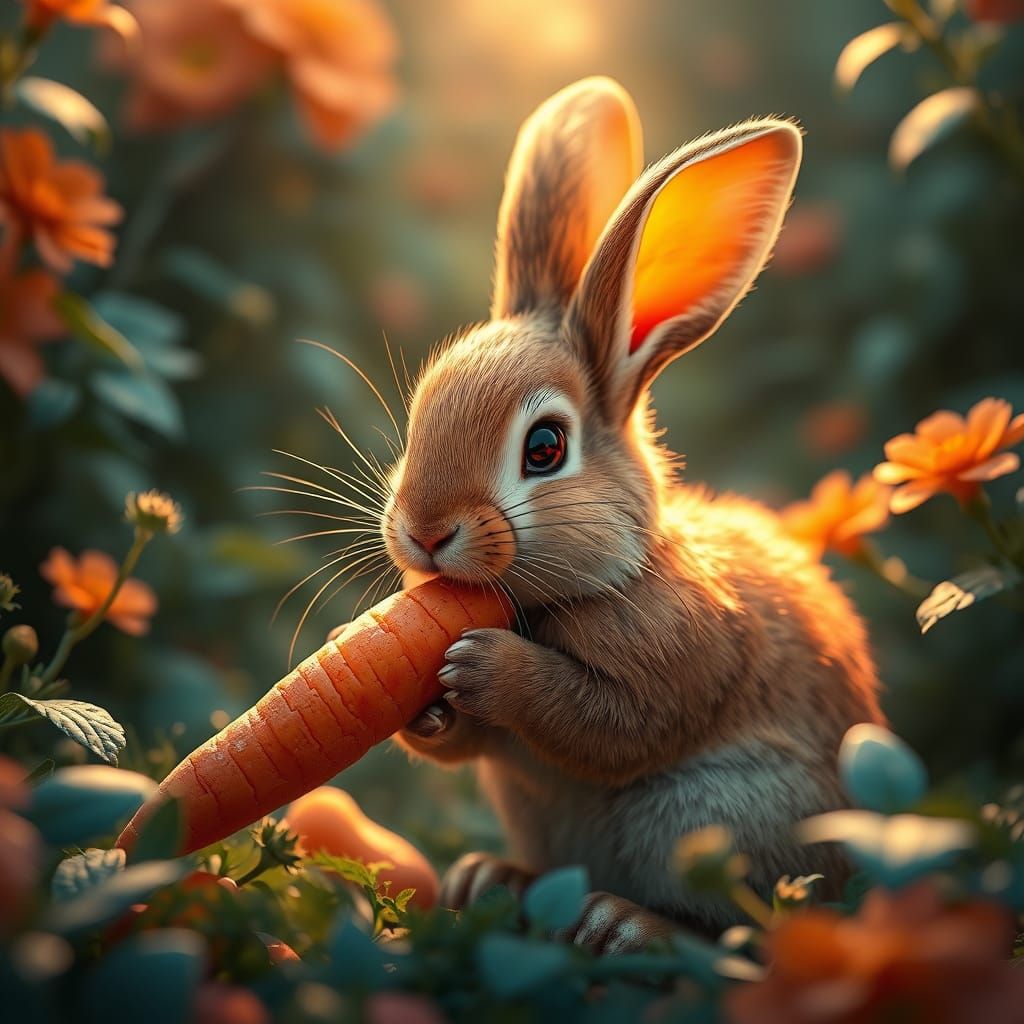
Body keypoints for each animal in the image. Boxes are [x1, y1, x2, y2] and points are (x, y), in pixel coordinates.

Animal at [375, 77, 884, 951]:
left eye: (544, 447)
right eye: (419, 415)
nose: (425, 532)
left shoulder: (681, 654)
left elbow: (607, 723)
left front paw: (483, 667)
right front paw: (433, 702)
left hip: (720, 816)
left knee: (741, 935)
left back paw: (621, 923)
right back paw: (490, 880)